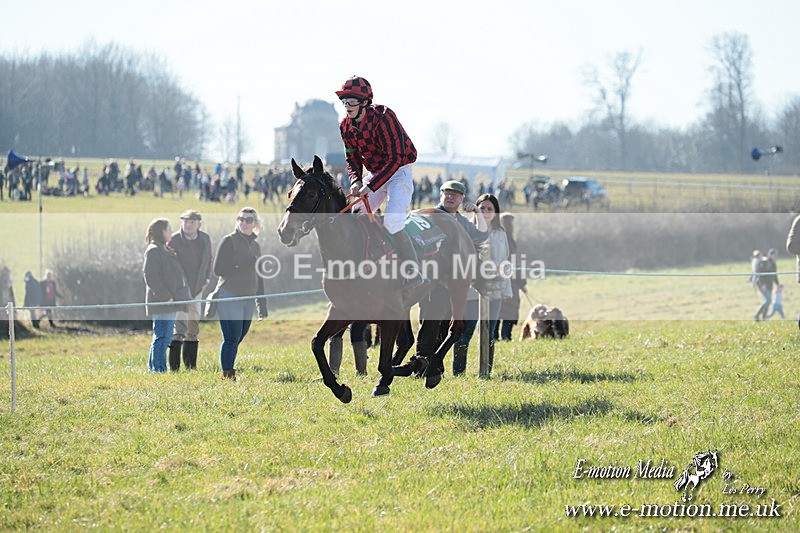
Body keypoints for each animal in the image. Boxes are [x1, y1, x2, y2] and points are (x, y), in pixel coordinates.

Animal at [277, 156, 476, 403]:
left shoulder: (388, 312)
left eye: (312, 194)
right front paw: (340, 388)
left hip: (458, 285)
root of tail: (453, 220)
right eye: (289, 193)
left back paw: (430, 368)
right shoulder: (344, 310)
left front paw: (403, 371)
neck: (351, 252)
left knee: (455, 328)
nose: (285, 231)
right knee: (408, 340)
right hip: (414, 301)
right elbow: (316, 342)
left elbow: (384, 364)